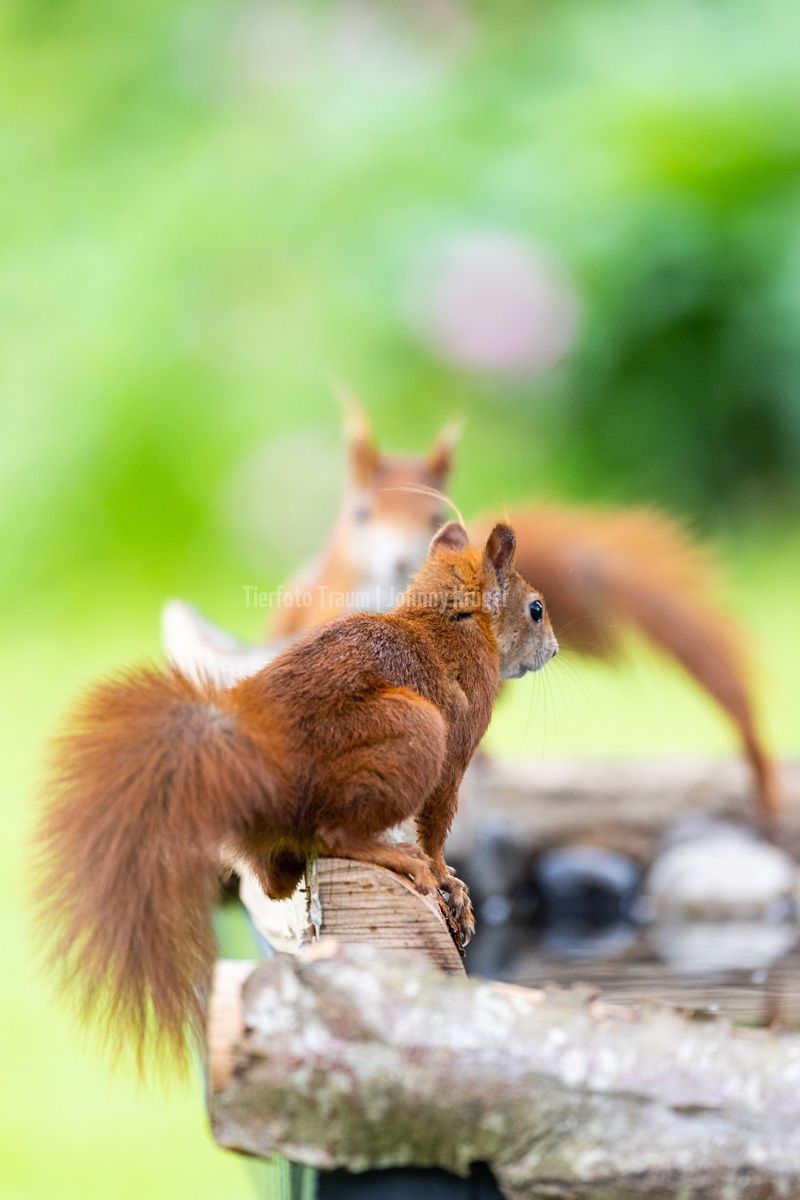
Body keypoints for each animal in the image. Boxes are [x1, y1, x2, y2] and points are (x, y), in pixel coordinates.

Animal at [35, 521, 557, 1070]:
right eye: (536, 609)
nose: (554, 649)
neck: (450, 617)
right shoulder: (461, 731)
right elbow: (438, 819)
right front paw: (447, 881)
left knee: (272, 881)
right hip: (414, 730)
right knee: (332, 834)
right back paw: (394, 856)